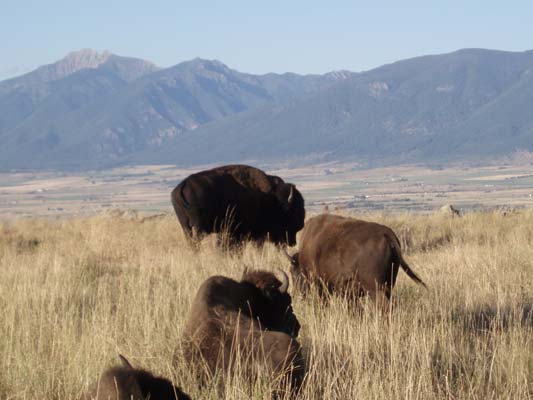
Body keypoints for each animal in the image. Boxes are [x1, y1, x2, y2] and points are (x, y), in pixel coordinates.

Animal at [171, 165, 305, 245]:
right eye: (293, 212)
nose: (293, 243)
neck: (271, 197)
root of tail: (184, 184)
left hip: (186, 227)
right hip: (199, 228)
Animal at [285, 214, 427, 304]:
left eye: (293, 272)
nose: (297, 295)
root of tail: (386, 233)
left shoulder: (321, 285)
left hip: (376, 289)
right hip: (388, 286)